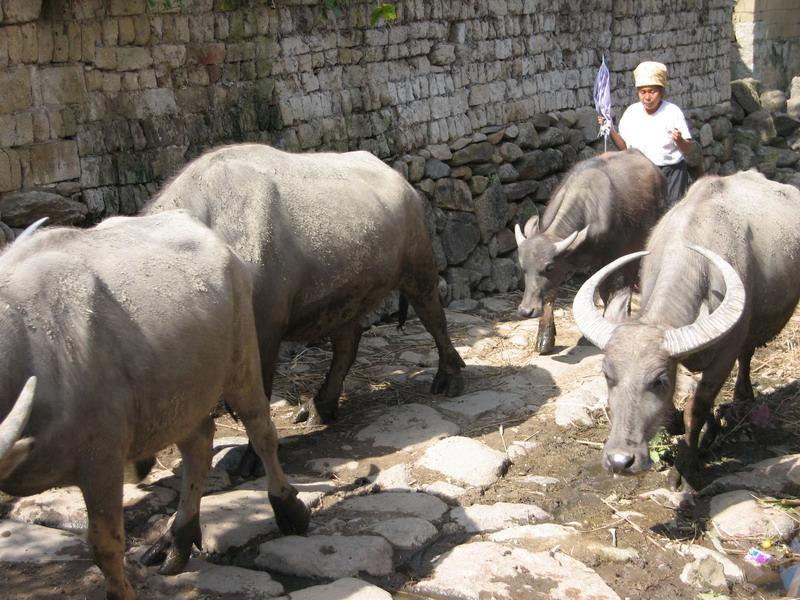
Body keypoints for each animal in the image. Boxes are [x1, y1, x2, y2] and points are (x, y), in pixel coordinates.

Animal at [0, 210, 310, 596]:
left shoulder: (101, 459)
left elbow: (105, 545)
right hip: (183, 394)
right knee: (198, 447)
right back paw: (177, 539)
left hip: (242, 362)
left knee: (261, 431)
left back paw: (287, 508)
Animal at [147, 144, 466, 426]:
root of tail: (403, 183)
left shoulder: (265, 333)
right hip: (345, 296)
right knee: (348, 341)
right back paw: (319, 407)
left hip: (418, 264)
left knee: (434, 318)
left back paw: (450, 378)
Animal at [516, 150, 664, 354]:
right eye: (523, 268)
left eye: (548, 267)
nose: (526, 310)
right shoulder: (564, 263)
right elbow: (551, 293)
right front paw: (545, 338)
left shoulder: (611, 256)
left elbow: (606, 289)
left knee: (631, 276)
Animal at [572, 170, 800, 492]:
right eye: (608, 376)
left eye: (659, 380)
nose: (620, 461)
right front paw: (695, 430)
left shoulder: (723, 357)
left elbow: (698, 406)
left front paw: (688, 465)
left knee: (746, 353)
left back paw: (743, 395)